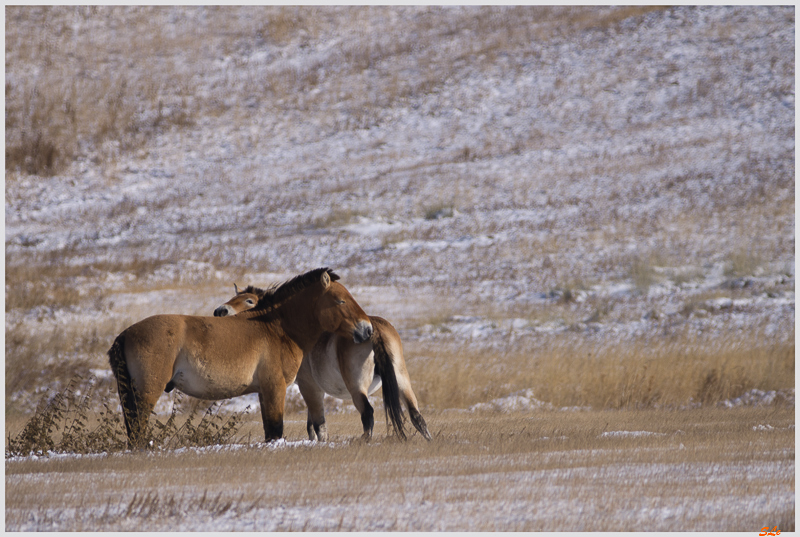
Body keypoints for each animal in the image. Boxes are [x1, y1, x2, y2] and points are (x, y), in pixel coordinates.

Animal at [106, 268, 376, 448]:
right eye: (341, 300)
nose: (367, 330)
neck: (276, 327)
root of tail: (124, 335)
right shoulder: (275, 388)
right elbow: (276, 430)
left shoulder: (264, 392)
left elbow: (269, 430)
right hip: (147, 392)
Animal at [211, 282, 432, 442]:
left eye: (249, 300)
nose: (220, 311)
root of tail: (373, 330)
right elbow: (312, 424)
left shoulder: (308, 386)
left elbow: (318, 425)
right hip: (402, 380)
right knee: (416, 415)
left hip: (357, 387)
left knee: (368, 413)